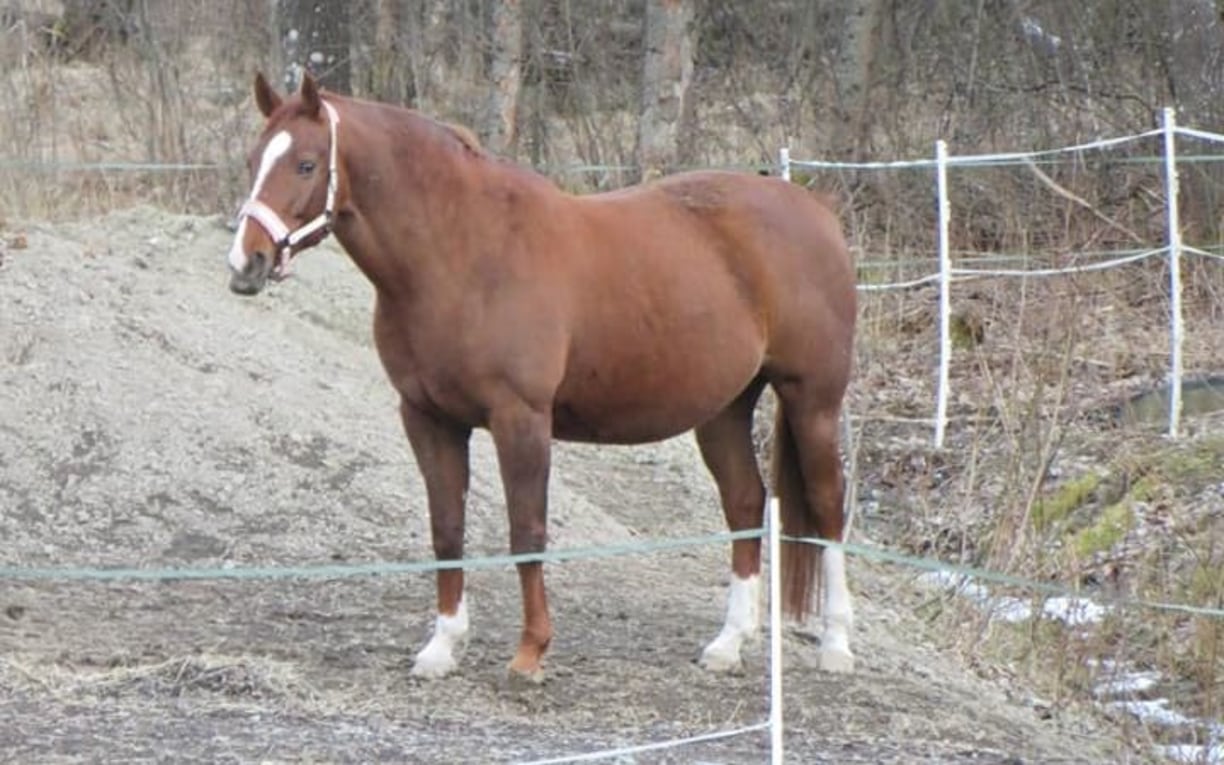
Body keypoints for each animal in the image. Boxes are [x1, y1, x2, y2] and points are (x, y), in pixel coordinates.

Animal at [231, 73, 861, 680]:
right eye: (253, 158)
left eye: (306, 164)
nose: (245, 264)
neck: (462, 254)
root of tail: (817, 210)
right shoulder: (428, 418)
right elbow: (447, 528)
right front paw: (442, 647)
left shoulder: (520, 418)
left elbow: (526, 531)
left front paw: (530, 653)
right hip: (725, 409)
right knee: (745, 503)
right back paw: (729, 644)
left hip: (812, 400)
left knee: (828, 505)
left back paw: (835, 644)